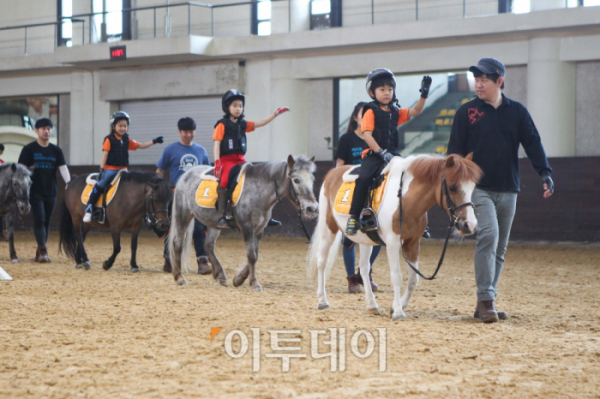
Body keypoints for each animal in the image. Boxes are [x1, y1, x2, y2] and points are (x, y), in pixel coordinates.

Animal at [169, 154, 318, 290]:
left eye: (312, 179)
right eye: (297, 180)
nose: (312, 208)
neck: (258, 191)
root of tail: (185, 175)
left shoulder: (260, 229)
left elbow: (255, 254)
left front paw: (239, 279)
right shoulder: (247, 228)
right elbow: (251, 255)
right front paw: (254, 283)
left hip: (213, 222)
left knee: (208, 245)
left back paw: (220, 275)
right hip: (183, 215)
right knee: (177, 243)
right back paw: (179, 278)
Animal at [310, 153, 482, 322]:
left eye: (472, 188)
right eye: (452, 187)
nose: (470, 225)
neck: (406, 200)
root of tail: (332, 173)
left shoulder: (413, 243)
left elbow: (413, 280)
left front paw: (397, 307)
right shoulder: (393, 242)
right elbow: (396, 276)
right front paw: (398, 312)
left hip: (365, 239)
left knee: (364, 268)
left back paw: (372, 305)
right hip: (328, 229)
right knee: (321, 261)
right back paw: (322, 301)